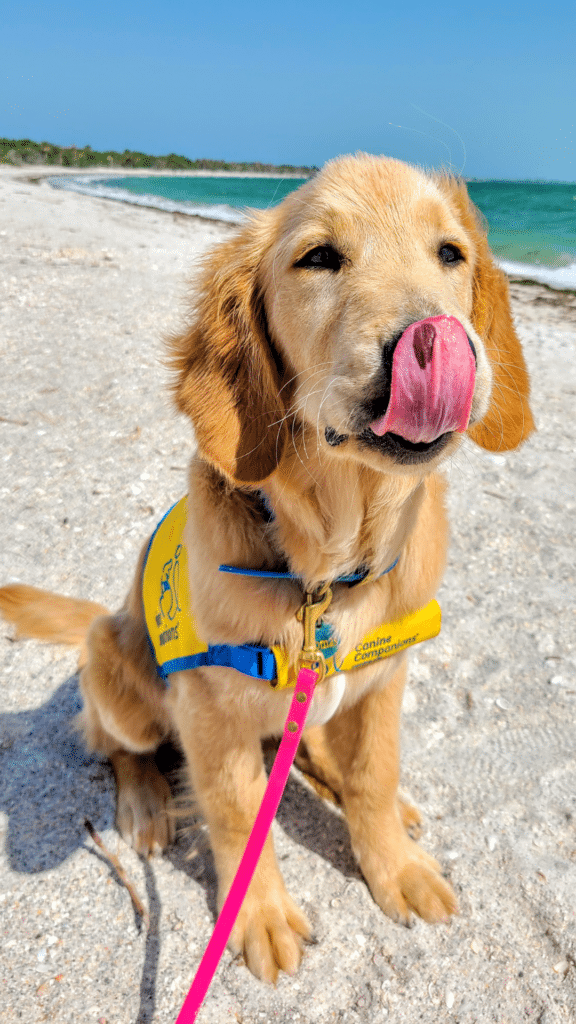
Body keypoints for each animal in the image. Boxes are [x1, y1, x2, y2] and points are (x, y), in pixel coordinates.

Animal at [0, 151, 532, 983]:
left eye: (451, 253)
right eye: (319, 258)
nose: (436, 339)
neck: (325, 567)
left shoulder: (386, 680)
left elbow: (374, 774)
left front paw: (394, 864)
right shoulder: (209, 711)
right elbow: (237, 811)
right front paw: (260, 914)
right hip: (113, 666)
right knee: (121, 748)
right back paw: (146, 803)